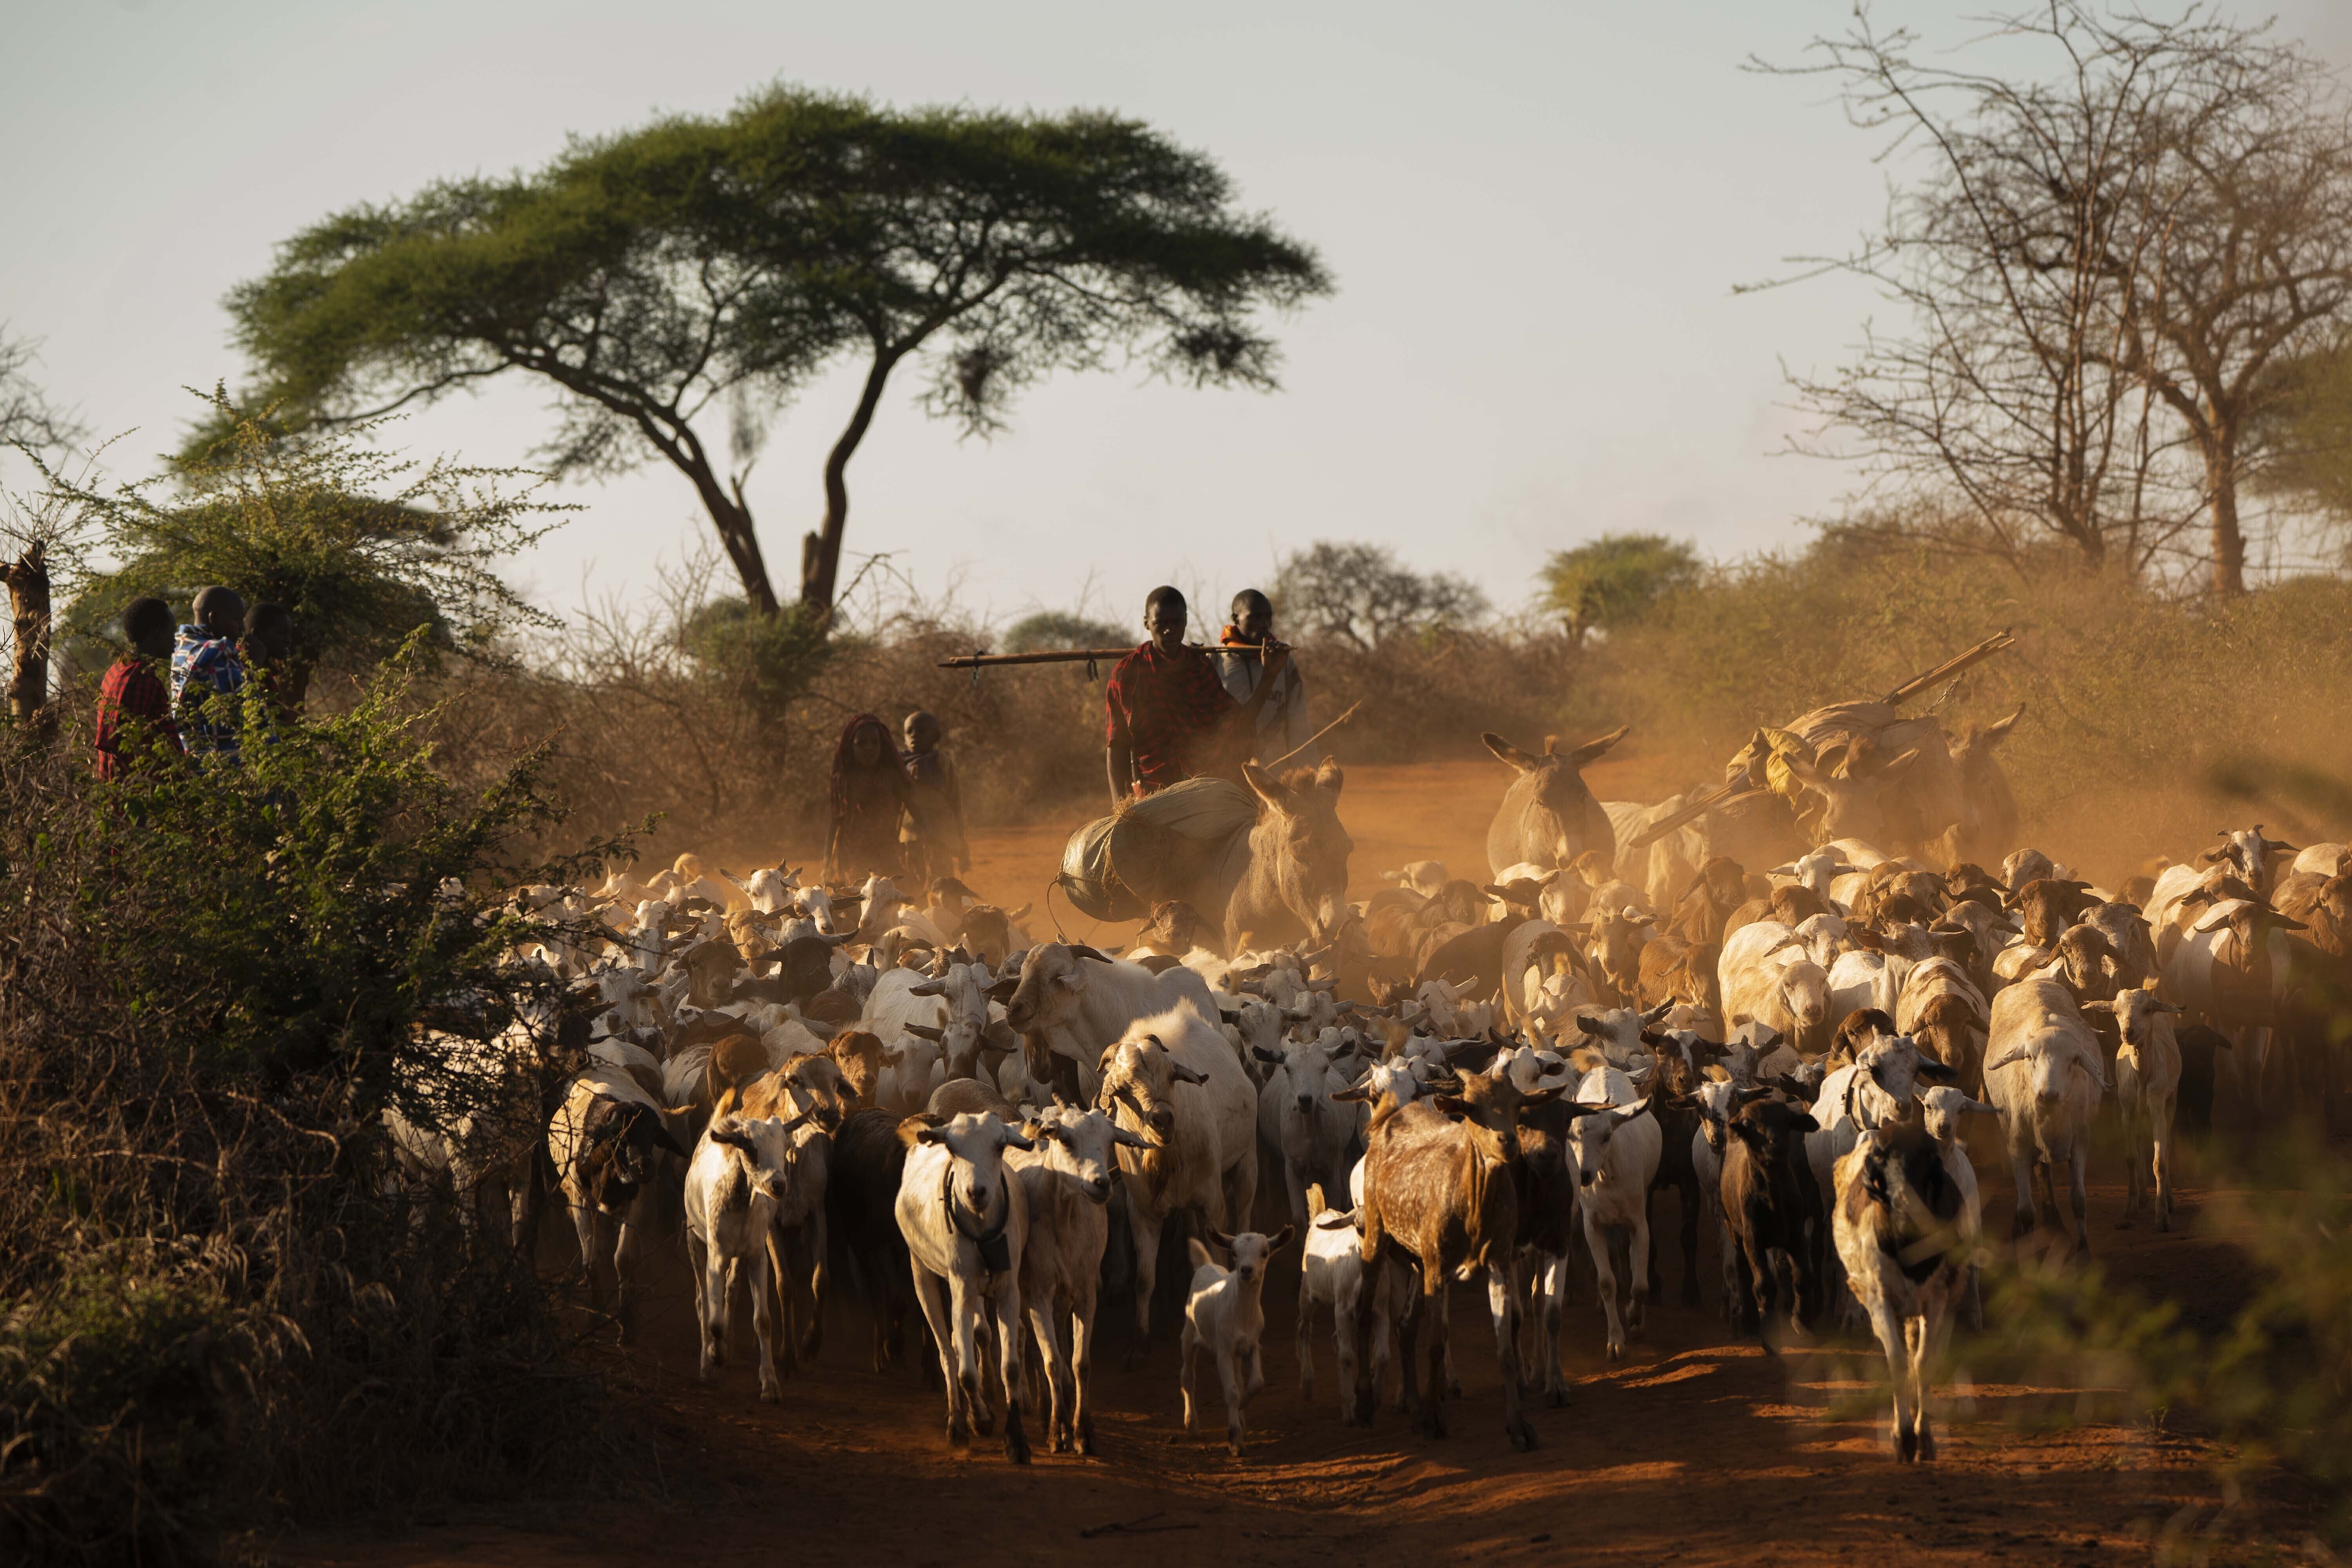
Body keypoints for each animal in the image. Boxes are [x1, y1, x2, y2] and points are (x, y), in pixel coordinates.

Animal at [1185, 1222, 1298, 1457]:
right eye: (1235, 1253)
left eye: (1265, 1253)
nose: (1246, 1270)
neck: (1242, 1314)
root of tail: (1206, 1265)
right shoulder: (1224, 1351)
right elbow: (1231, 1392)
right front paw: (1235, 1440)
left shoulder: (1252, 1345)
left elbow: (1256, 1382)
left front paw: (1241, 1413)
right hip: (1189, 1332)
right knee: (1188, 1377)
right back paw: (1192, 1426)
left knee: (1238, 1378)